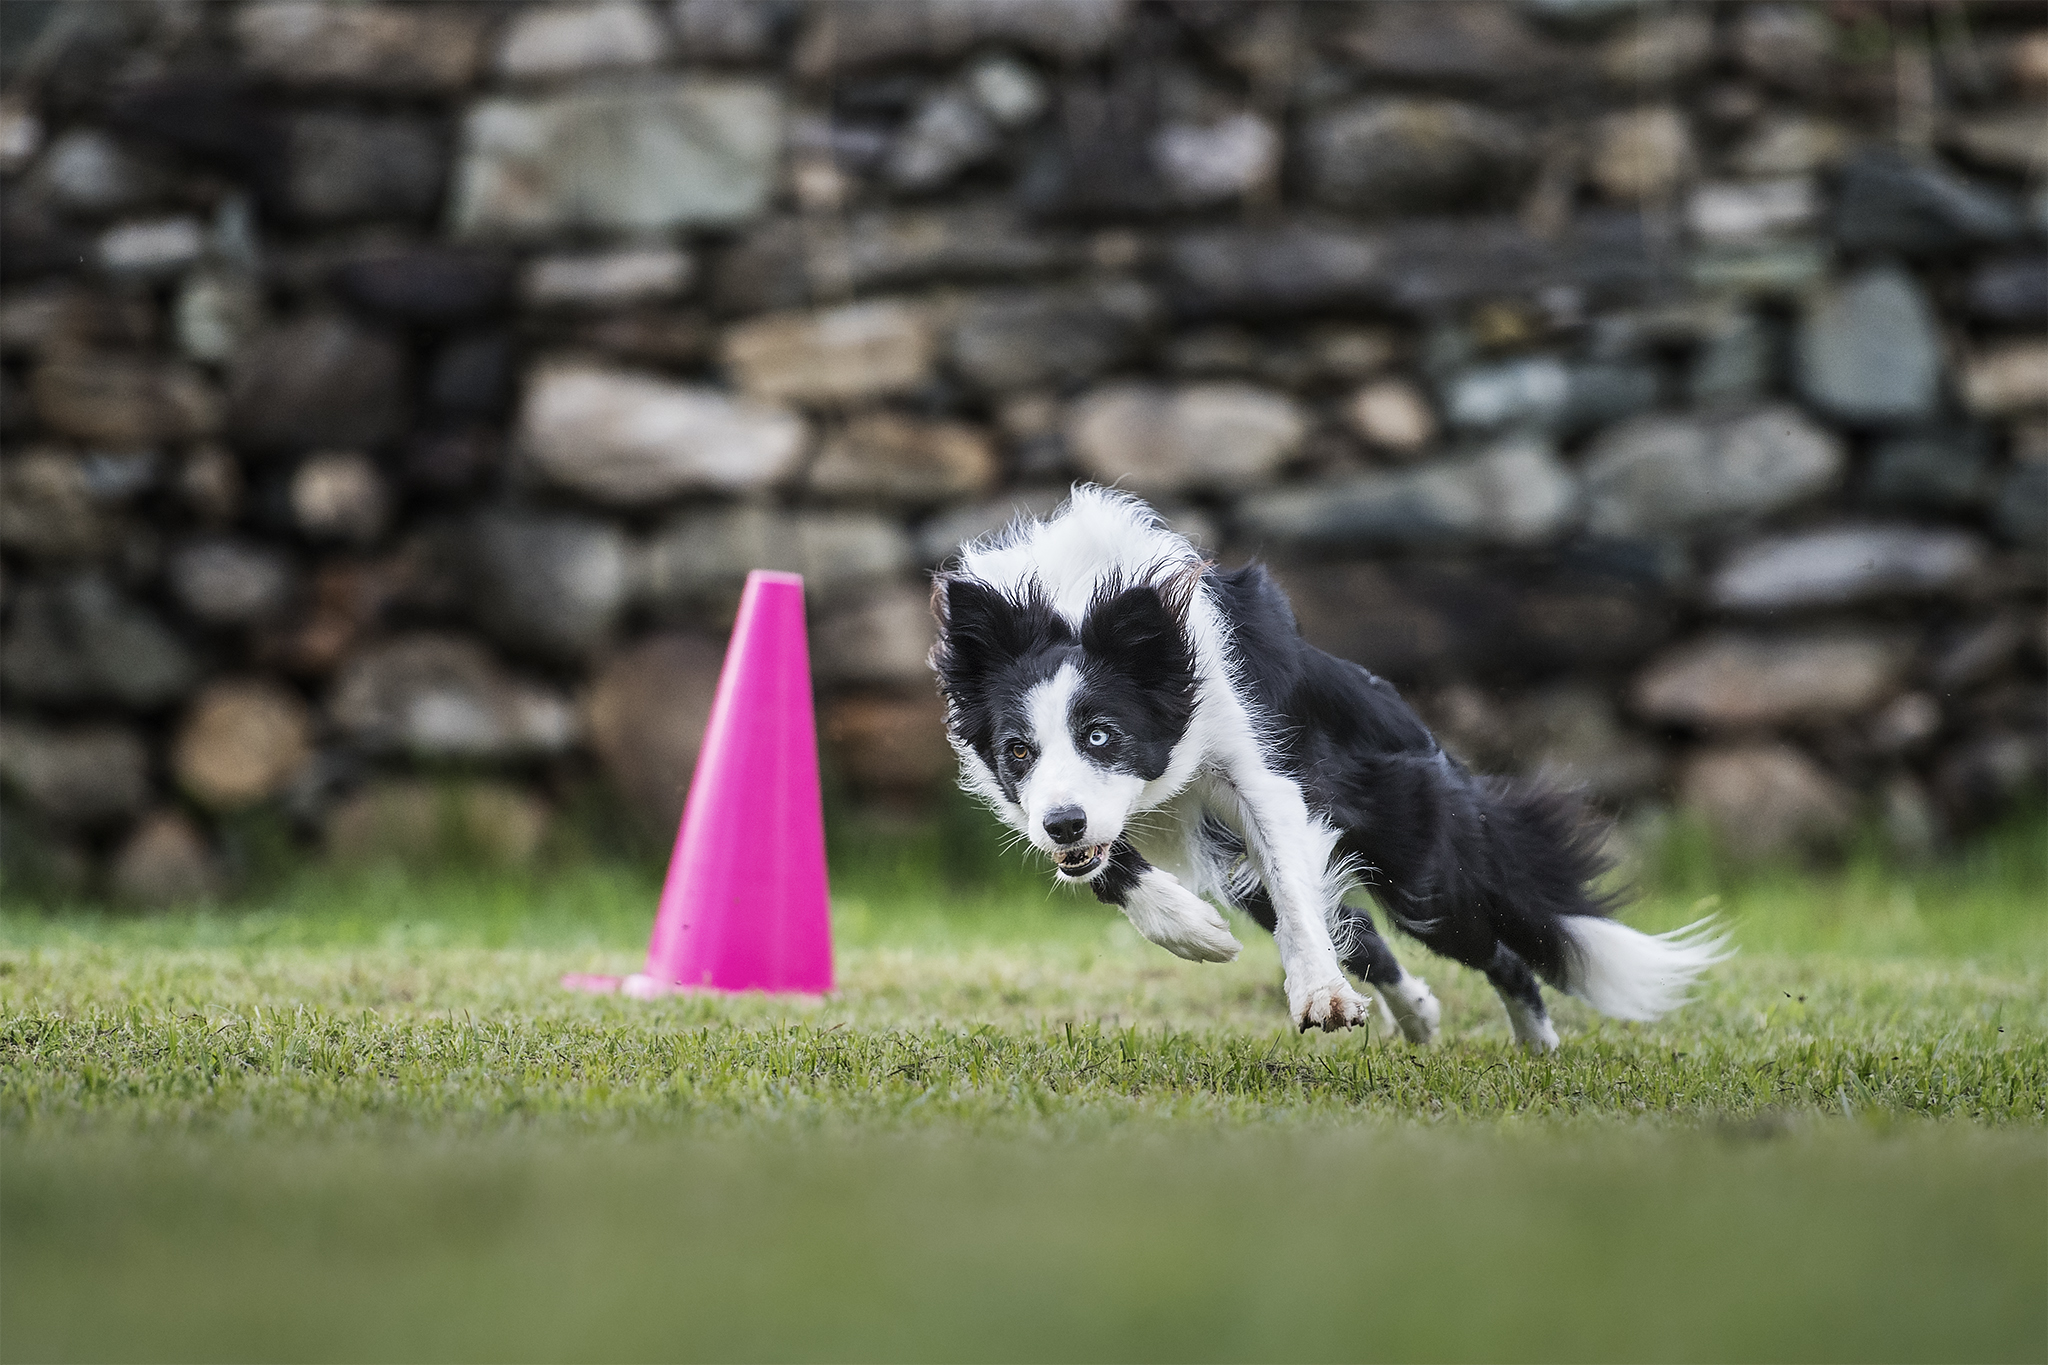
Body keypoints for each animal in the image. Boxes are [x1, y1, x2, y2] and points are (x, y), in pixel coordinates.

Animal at [929, 485, 1728, 1055]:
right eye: (1018, 750)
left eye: (1101, 735)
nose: (1064, 824)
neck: (1071, 605)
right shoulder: (1041, 807)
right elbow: (1104, 866)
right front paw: (1195, 932)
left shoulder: (1255, 766)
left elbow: (1291, 879)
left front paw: (1321, 995)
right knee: (1361, 927)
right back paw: (1419, 1015)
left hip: (1424, 876)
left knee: (1497, 946)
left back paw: (1536, 1045)